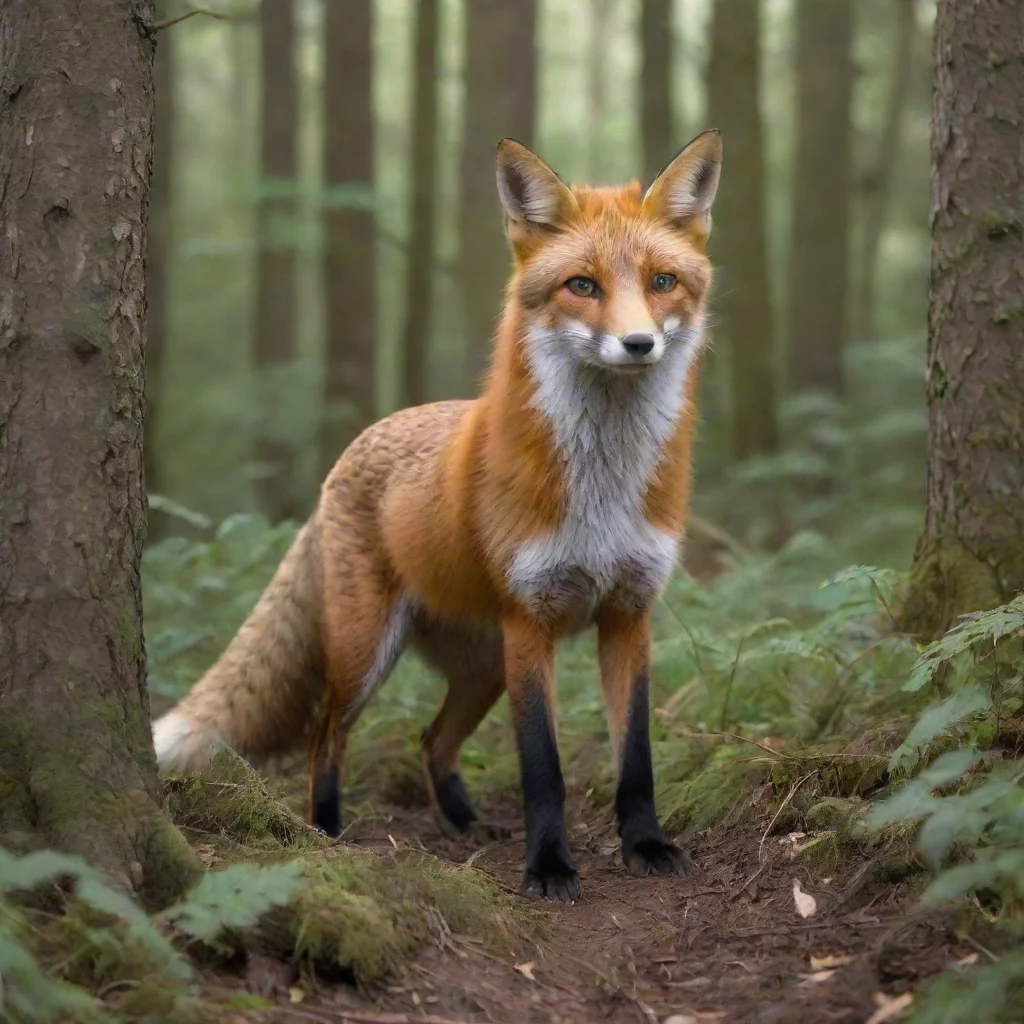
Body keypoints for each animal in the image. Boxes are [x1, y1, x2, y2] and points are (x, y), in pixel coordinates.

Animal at [153, 129, 723, 902]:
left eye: (662, 281)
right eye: (583, 286)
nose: (640, 345)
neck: (602, 489)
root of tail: (357, 444)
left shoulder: (628, 614)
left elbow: (635, 758)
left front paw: (646, 845)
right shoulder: (531, 623)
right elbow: (542, 770)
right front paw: (550, 867)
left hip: (483, 668)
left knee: (431, 739)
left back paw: (464, 823)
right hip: (370, 652)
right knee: (325, 733)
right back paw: (325, 831)